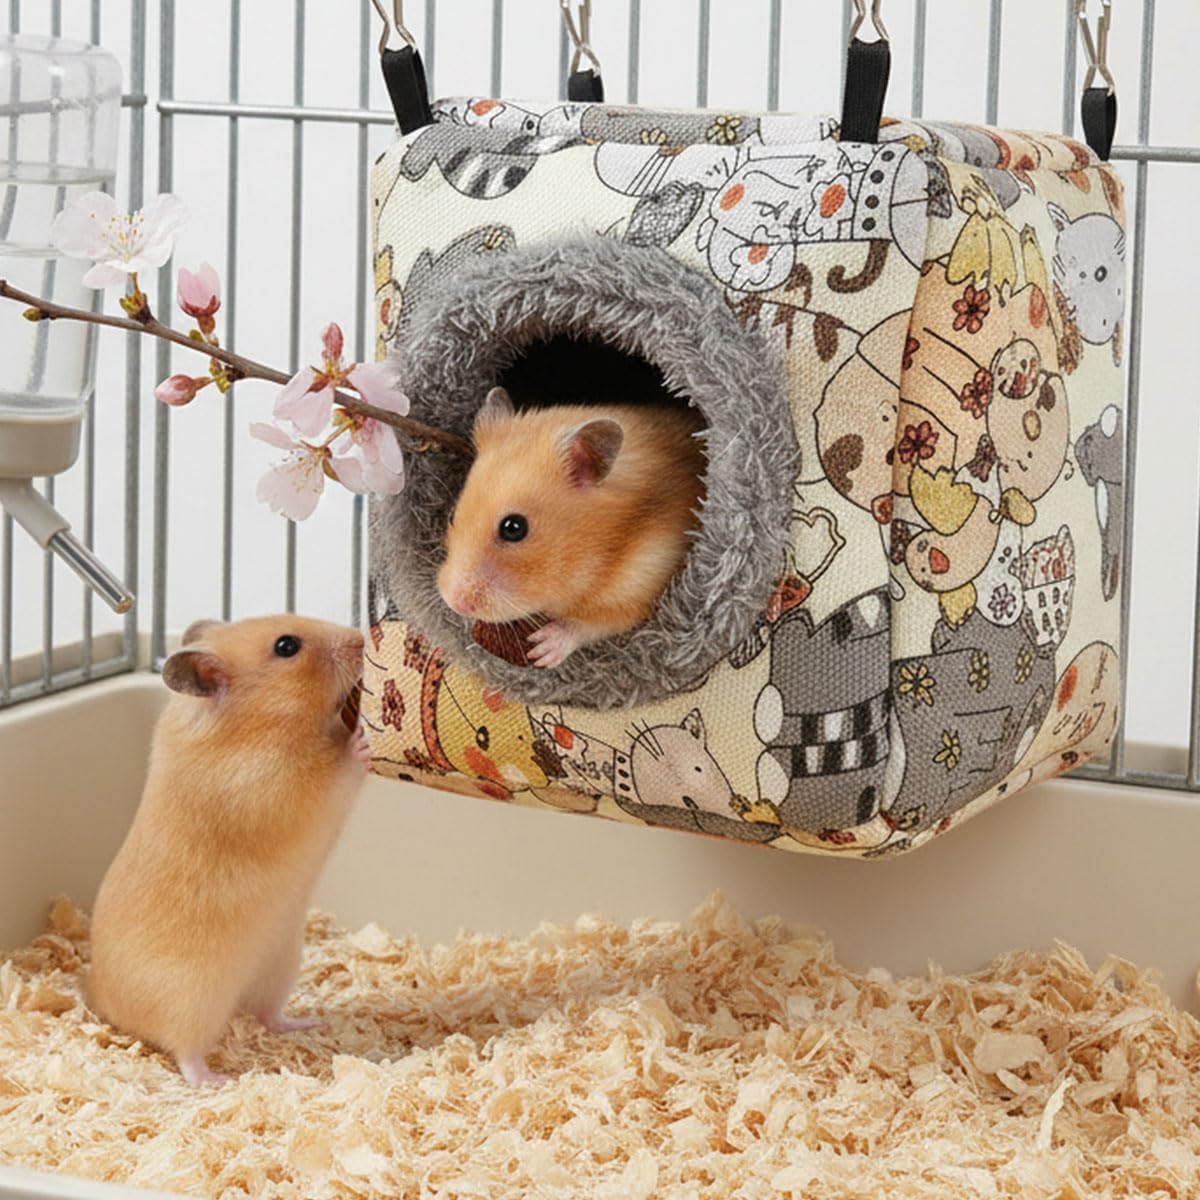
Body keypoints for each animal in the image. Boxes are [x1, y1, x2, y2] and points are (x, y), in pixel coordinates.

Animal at [86, 615, 368, 1086]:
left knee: (267, 1015)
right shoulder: (271, 787)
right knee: (185, 1051)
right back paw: (217, 1081)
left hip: (279, 966)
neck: (255, 724)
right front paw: (360, 740)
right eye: (286, 647)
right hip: (190, 998)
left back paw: (307, 1023)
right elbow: (335, 767)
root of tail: (102, 1004)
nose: (361, 638)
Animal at [437, 386, 707, 668]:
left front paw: (542, 649)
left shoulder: (647, 580)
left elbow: (597, 623)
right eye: (453, 516)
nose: (455, 603)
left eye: (514, 528)